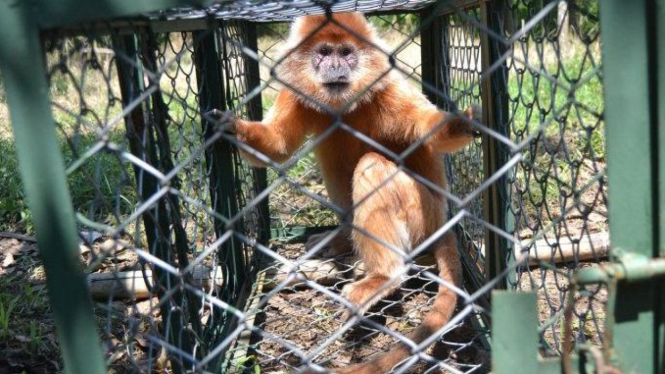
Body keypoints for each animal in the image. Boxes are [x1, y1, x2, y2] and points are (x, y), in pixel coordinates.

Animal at [220, 12, 480, 374]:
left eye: (346, 53)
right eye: (324, 53)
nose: (334, 66)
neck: (345, 104)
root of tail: (442, 219)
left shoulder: (387, 85)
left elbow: (431, 129)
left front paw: (461, 122)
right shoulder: (295, 92)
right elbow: (278, 146)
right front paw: (233, 128)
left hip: (423, 214)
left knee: (372, 165)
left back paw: (383, 276)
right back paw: (342, 238)